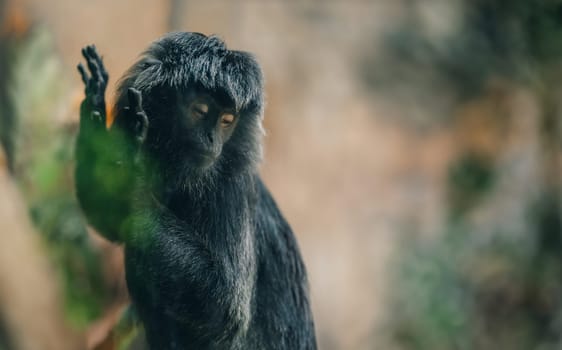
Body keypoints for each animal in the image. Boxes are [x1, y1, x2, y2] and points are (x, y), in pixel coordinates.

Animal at [74, 32, 316, 350]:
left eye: (227, 121)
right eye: (200, 111)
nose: (212, 139)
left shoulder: (230, 187)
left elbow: (227, 307)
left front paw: (132, 185)